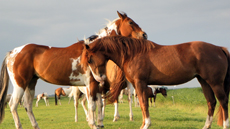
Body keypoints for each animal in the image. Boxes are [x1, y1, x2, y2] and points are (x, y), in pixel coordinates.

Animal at [0, 11, 147, 129]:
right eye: (130, 22)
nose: (144, 35)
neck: (92, 52)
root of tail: (12, 52)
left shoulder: (96, 85)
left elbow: (98, 104)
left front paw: (99, 123)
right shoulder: (91, 84)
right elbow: (92, 105)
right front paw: (93, 124)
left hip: (31, 83)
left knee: (28, 105)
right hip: (20, 84)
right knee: (13, 105)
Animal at [81, 36, 230, 129]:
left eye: (90, 59)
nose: (99, 79)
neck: (132, 54)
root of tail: (219, 48)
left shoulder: (140, 83)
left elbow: (144, 103)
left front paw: (146, 125)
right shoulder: (138, 85)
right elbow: (142, 104)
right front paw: (143, 124)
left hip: (215, 82)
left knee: (223, 101)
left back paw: (225, 125)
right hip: (204, 81)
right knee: (211, 102)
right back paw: (206, 126)